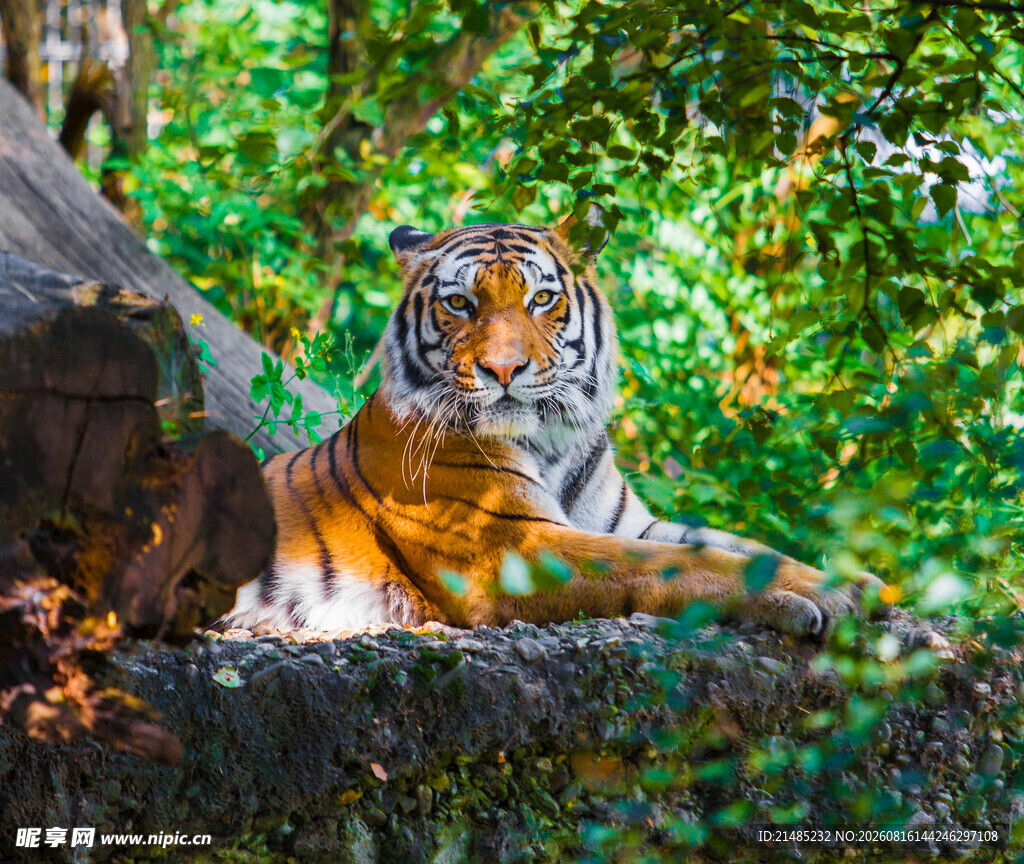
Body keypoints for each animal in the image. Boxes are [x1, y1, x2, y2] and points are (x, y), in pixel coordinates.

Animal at [221, 212, 883, 635]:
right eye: (459, 303)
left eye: (541, 299)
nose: (502, 369)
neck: (552, 441)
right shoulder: (516, 546)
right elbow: (675, 564)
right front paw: (804, 599)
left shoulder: (627, 522)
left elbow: (734, 545)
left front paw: (853, 585)